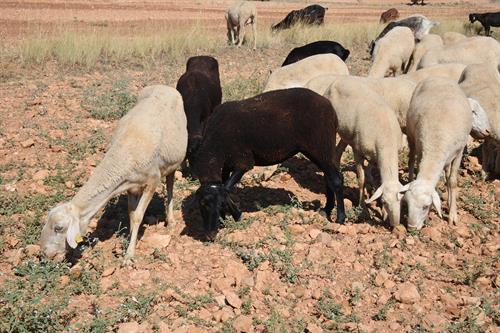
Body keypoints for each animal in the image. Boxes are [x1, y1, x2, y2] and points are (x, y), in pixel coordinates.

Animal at [40, 85, 188, 264]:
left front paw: (129, 255)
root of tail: (164, 86)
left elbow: (138, 216)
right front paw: (130, 239)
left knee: (170, 187)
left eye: (58, 228)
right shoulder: (131, 186)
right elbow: (131, 214)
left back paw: (171, 220)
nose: (45, 254)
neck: (121, 156)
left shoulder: (153, 179)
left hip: (173, 162)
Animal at [193, 87, 346, 236]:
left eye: (220, 205)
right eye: (202, 205)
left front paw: (235, 215)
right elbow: (226, 188)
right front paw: (231, 216)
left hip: (320, 145)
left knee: (336, 180)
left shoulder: (243, 161)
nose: (211, 234)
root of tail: (328, 105)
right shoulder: (226, 165)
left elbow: (227, 188)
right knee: (329, 177)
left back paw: (340, 218)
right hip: (318, 149)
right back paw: (326, 210)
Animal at [320, 76, 406, 226]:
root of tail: (338, 80)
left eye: (401, 199)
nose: (395, 225)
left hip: (347, 134)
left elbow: (373, 177)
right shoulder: (358, 151)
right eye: (385, 201)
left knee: (337, 154)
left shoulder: (375, 156)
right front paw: (364, 209)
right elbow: (361, 179)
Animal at [402, 77, 472, 228]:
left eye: (425, 207)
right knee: (411, 161)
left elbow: (452, 181)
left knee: (447, 173)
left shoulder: (459, 151)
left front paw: (452, 215)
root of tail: (439, 77)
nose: (411, 228)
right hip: (411, 135)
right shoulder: (422, 149)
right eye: (407, 204)